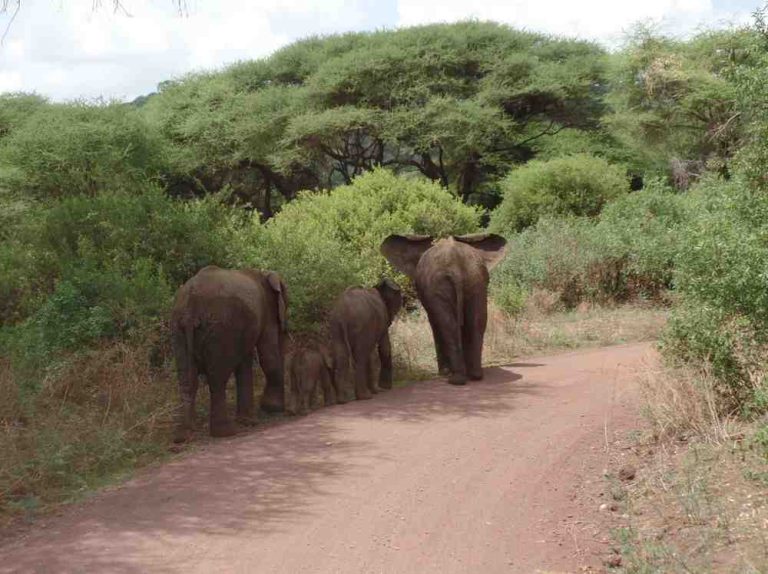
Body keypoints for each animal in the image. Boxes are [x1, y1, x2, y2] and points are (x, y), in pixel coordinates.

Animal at [171, 265, 288, 442]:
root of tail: (192, 304)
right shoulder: (266, 310)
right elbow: (268, 354)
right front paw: (272, 408)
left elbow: (245, 363)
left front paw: (248, 421)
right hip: (220, 329)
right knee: (217, 379)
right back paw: (226, 432)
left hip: (179, 329)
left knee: (187, 380)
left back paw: (183, 436)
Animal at [380, 234, 507, 386]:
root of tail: (456, 266)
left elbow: (435, 322)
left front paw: (444, 372)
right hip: (476, 280)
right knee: (476, 322)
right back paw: (475, 375)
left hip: (438, 283)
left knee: (447, 324)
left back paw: (455, 379)